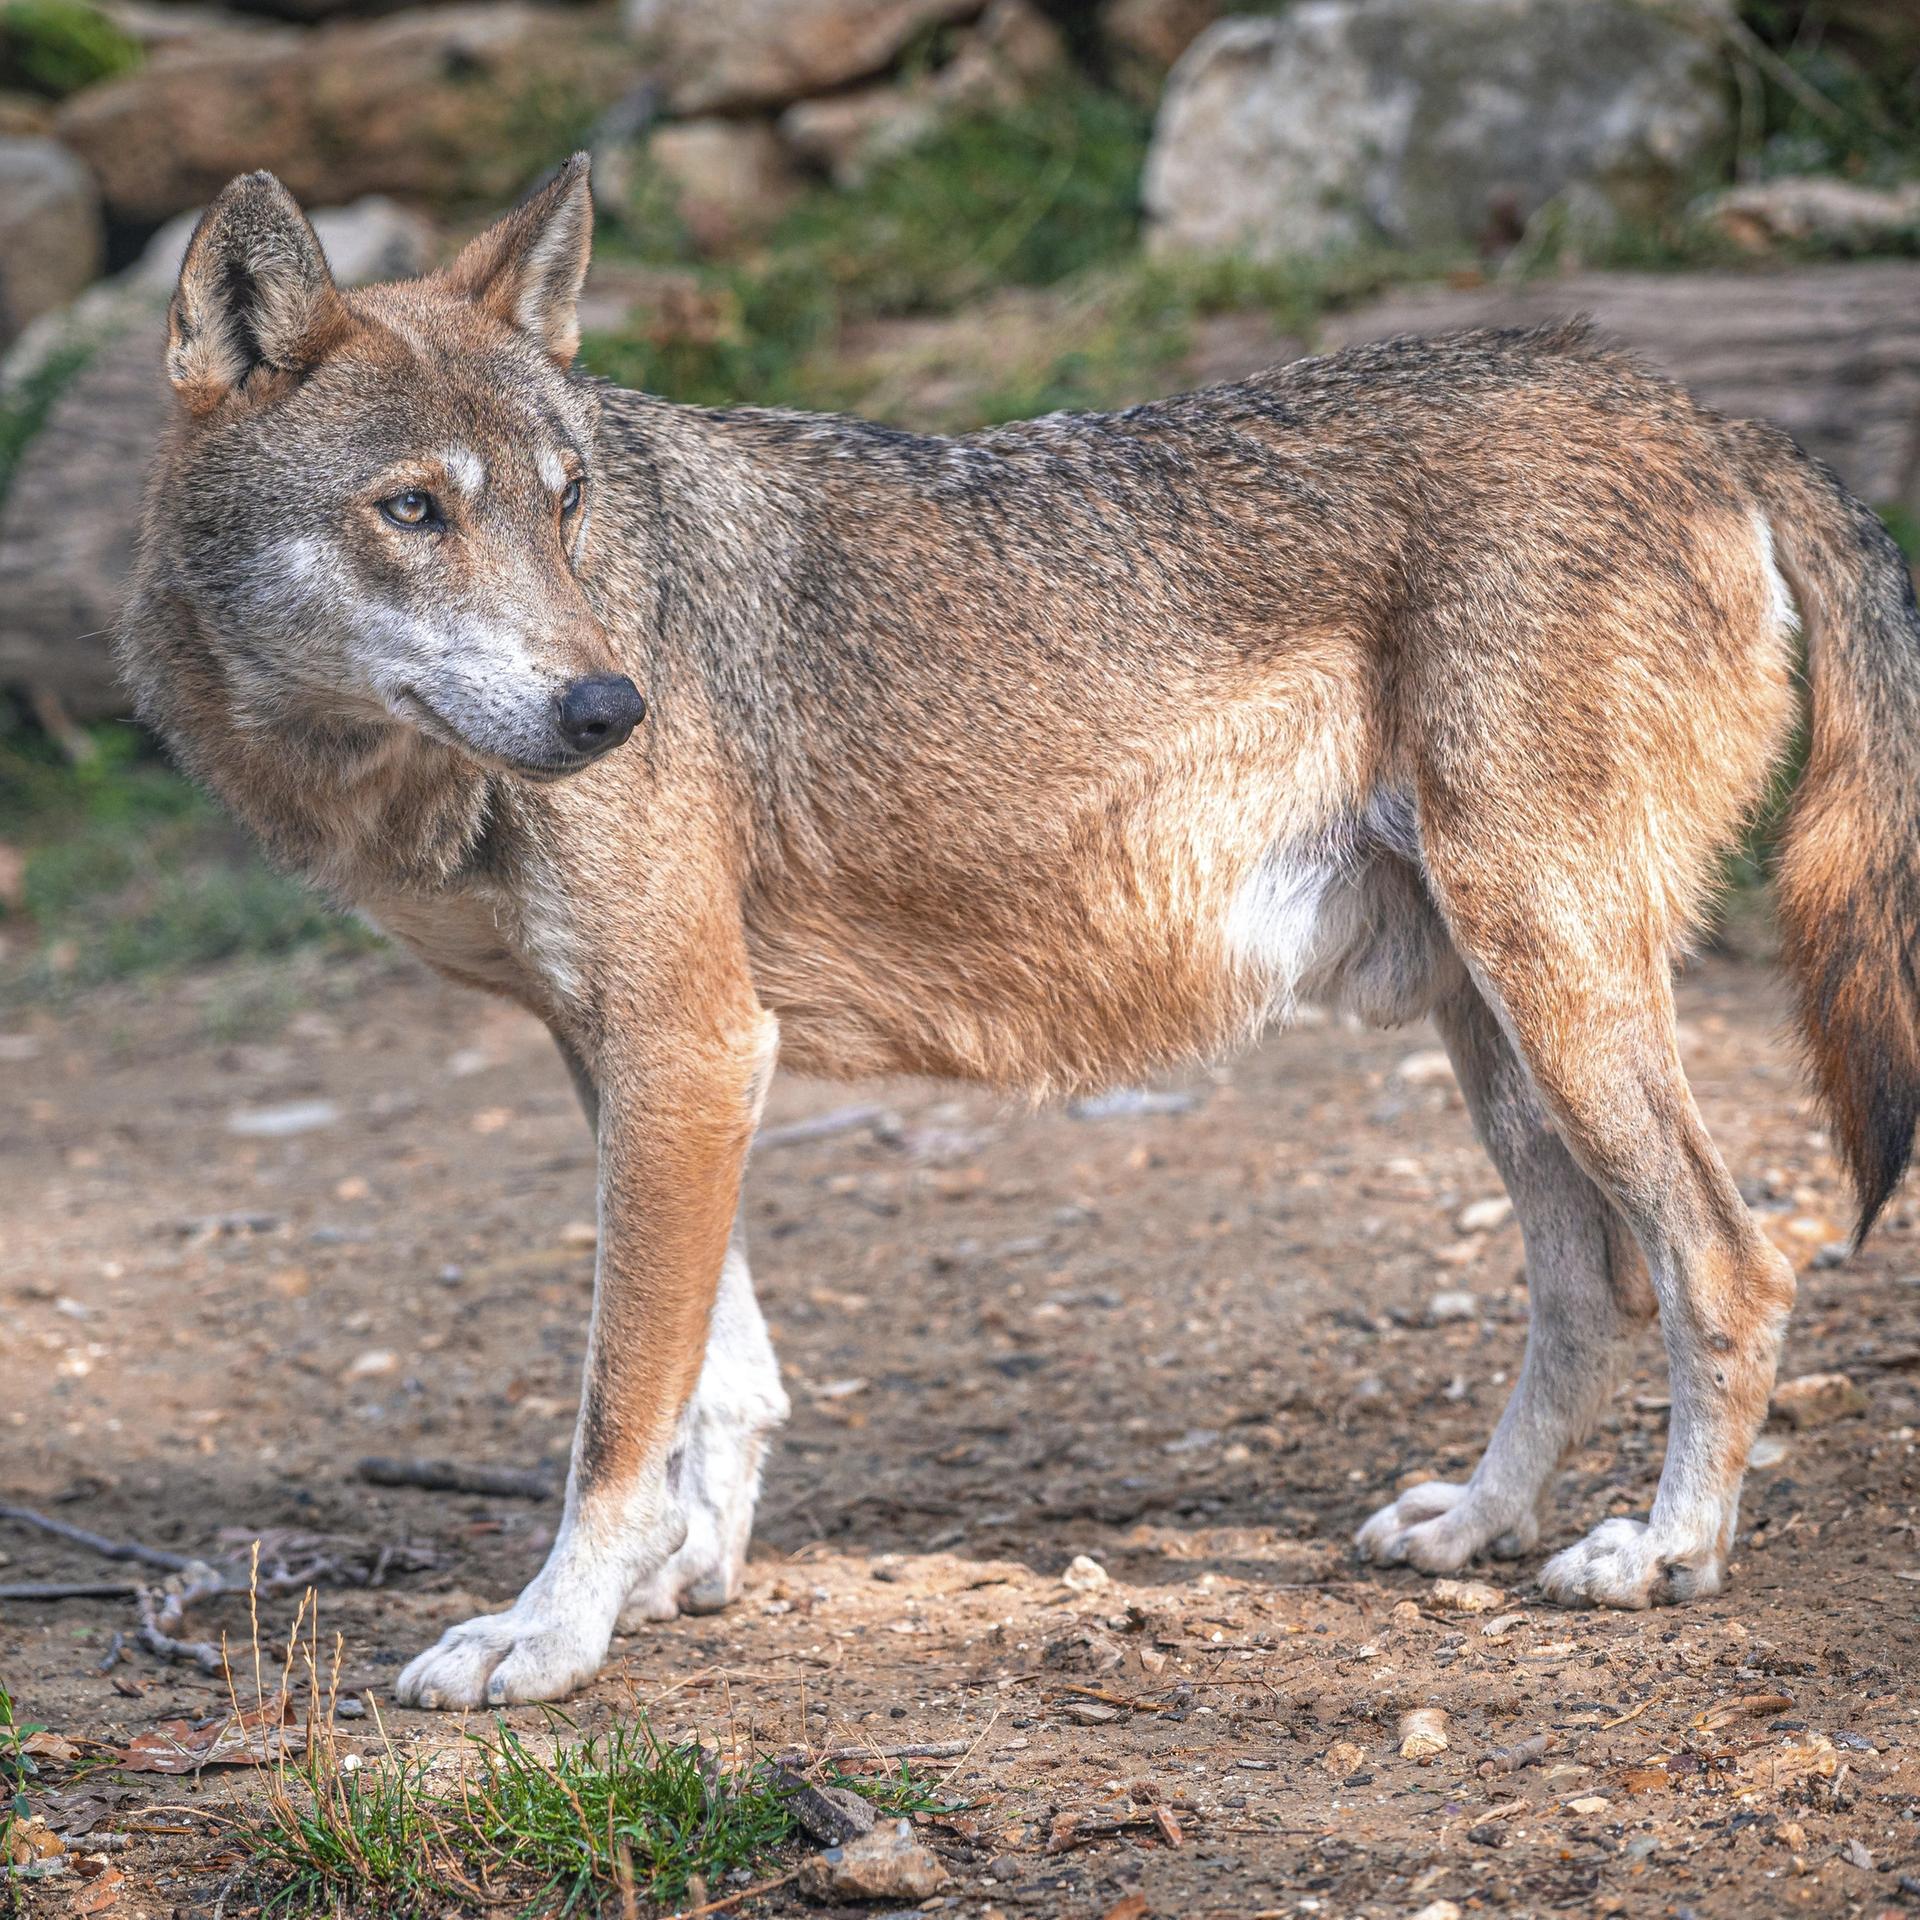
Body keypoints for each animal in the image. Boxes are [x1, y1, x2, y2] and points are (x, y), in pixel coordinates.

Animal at [118, 155, 1920, 1708]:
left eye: (564, 509)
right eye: (412, 510)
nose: (610, 708)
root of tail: (1705, 413)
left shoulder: (687, 1047)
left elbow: (620, 1411)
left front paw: (552, 1637)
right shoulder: (645, 1059)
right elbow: (720, 1377)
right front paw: (680, 1578)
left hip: (1555, 990)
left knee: (1731, 1257)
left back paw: (1669, 1553)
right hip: (1496, 1029)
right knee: (1589, 1278)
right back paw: (1479, 1523)